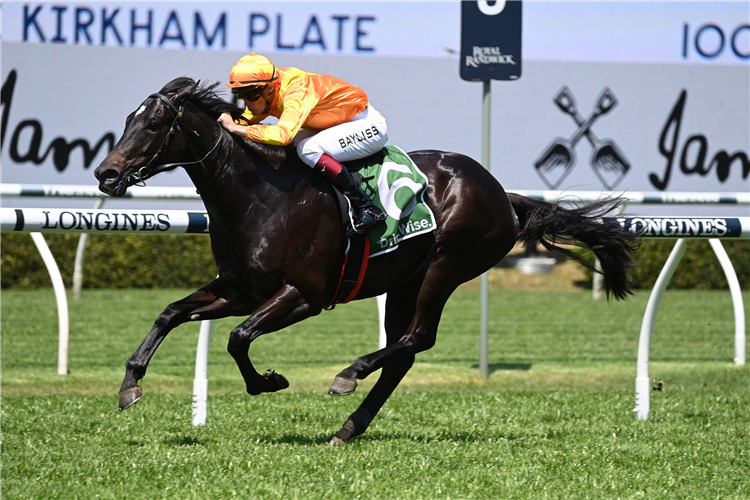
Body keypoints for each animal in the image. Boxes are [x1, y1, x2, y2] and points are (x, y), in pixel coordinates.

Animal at [92, 79, 636, 446]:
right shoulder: (240, 288)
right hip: (404, 280)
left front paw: (268, 382)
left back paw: (349, 374)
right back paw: (349, 427)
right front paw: (130, 385)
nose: (106, 173)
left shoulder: (304, 295)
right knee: (403, 352)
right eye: (128, 119)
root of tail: (502, 193)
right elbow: (170, 314)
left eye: (154, 124)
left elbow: (238, 337)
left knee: (418, 337)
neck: (259, 197)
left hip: (446, 266)